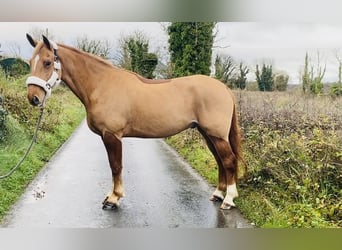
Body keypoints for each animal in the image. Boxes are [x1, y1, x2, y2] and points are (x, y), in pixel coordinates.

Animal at [25, 34, 244, 210]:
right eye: (29, 62)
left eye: (47, 62)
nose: (33, 98)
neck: (101, 84)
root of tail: (224, 88)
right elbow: (114, 166)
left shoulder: (112, 135)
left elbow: (115, 166)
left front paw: (113, 199)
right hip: (208, 134)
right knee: (220, 161)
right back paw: (218, 194)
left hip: (216, 135)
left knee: (229, 161)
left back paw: (228, 199)